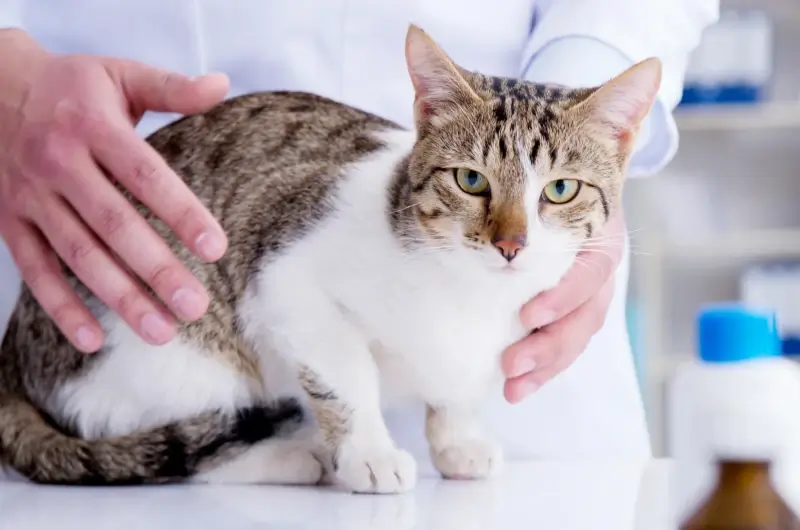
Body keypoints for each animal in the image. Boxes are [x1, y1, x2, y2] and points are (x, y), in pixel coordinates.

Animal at [0, 24, 660, 490]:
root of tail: (16, 339)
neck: (468, 294)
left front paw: (456, 440)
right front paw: (367, 453)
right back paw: (294, 457)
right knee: (187, 445)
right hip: (174, 349)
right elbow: (347, 377)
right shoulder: (286, 279)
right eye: (471, 180)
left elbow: (455, 388)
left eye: (560, 190)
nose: (511, 243)